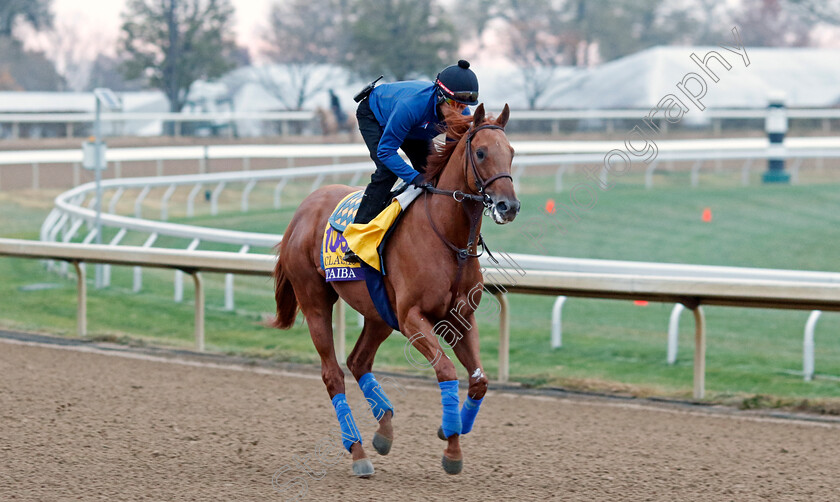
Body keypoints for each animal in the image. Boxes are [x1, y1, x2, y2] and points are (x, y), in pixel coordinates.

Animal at [272, 103, 520, 478]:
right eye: (481, 152)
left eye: (512, 152)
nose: (509, 206)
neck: (446, 238)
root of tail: (302, 210)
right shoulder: (411, 318)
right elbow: (446, 371)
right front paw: (451, 447)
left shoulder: (460, 318)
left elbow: (479, 380)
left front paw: (450, 429)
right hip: (315, 302)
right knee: (333, 374)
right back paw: (358, 452)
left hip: (378, 313)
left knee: (358, 361)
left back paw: (384, 428)